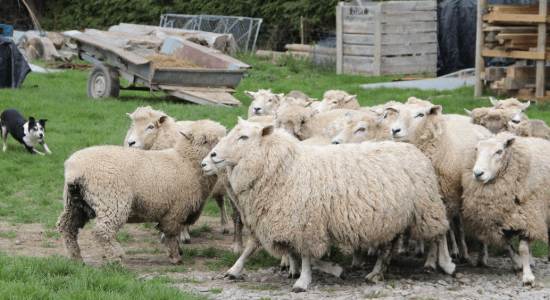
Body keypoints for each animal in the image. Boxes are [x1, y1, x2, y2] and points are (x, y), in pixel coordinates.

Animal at [57, 120, 226, 264]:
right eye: (205, 141)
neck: (185, 161)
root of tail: (74, 170)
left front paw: (178, 251)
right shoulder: (175, 211)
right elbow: (171, 234)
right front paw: (175, 257)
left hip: (75, 203)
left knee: (66, 227)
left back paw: (76, 259)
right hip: (112, 202)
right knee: (102, 231)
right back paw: (116, 258)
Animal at [124, 106, 230, 244]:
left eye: (150, 127)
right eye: (133, 125)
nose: (131, 142)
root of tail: (215, 124)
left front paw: (183, 235)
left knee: (222, 201)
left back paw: (225, 225)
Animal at [207, 118, 458, 292]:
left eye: (244, 137)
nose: (212, 155)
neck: (285, 167)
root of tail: (414, 150)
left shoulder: (307, 223)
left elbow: (307, 256)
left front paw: (304, 281)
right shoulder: (277, 218)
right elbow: (256, 246)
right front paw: (234, 269)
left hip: (425, 206)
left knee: (440, 232)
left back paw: (446, 263)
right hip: (393, 218)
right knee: (389, 246)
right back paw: (377, 272)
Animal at [390, 97, 494, 264]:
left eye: (420, 115)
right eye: (398, 112)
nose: (395, 130)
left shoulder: (448, 195)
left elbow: (440, 228)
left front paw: (433, 259)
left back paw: (479, 256)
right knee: (456, 223)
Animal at [462, 132, 550, 286]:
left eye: (499, 151)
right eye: (476, 149)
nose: (478, 173)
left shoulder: (530, 218)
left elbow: (523, 249)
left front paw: (527, 277)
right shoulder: (497, 224)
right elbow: (506, 246)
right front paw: (518, 264)